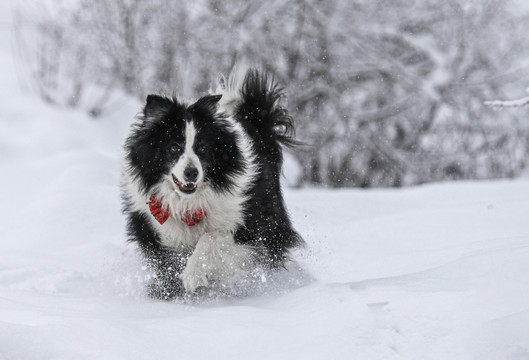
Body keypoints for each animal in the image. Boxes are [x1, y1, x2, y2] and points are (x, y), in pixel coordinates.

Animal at [120, 69, 302, 298]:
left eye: (203, 148)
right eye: (174, 148)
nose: (191, 172)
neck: (189, 203)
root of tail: (256, 119)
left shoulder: (245, 224)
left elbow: (212, 238)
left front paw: (193, 276)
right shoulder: (152, 224)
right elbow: (168, 260)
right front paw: (171, 289)